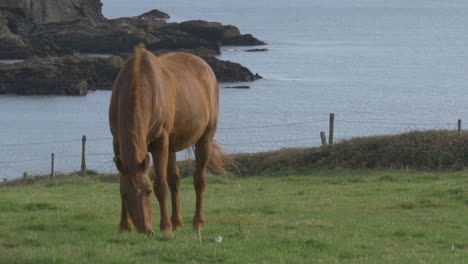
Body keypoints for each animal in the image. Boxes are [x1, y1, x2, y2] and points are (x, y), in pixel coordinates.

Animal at [108, 45, 229, 235]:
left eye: (148, 191)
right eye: (125, 195)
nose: (145, 230)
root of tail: (205, 66)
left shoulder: (160, 143)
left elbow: (161, 185)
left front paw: (165, 227)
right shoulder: (117, 141)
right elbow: (125, 181)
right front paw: (124, 227)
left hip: (204, 140)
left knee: (199, 180)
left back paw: (197, 222)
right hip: (171, 146)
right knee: (175, 181)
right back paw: (177, 222)